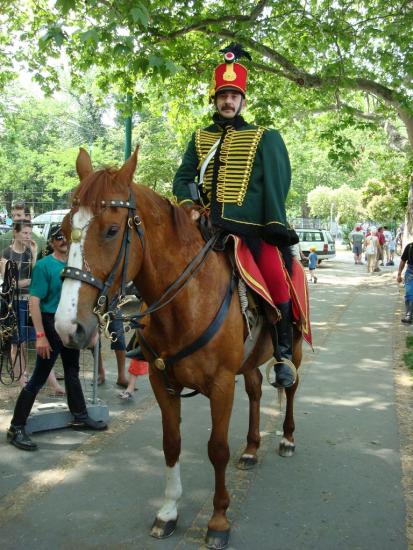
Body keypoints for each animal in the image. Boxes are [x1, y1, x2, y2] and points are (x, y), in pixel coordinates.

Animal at [54, 148, 300, 550]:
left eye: (111, 230)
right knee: (255, 391)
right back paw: (251, 448)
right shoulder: (162, 382)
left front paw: (218, 520)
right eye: (62, 229)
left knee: (290, 388)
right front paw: (168, 511)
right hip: (248, 362)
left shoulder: (220, 385)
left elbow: (217, 449)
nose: (66, 326)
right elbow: (171, 443)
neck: (185, 301)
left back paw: (289, 438)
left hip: (294, 351)